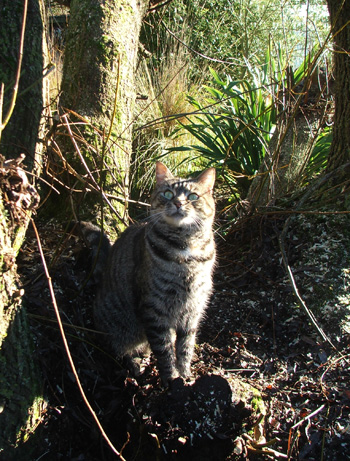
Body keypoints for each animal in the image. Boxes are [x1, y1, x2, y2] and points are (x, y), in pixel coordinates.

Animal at [79, 162, 216, 384]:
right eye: (168, 194)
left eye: (193, 196)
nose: (178, 203)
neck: (186, 249)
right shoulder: (155, 307)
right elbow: (164, 349)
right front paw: (171, 378)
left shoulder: (193, 308)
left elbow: (185, 346)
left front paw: (185, 375)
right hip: (119, 325)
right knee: (122, 349)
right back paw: (135, 364)